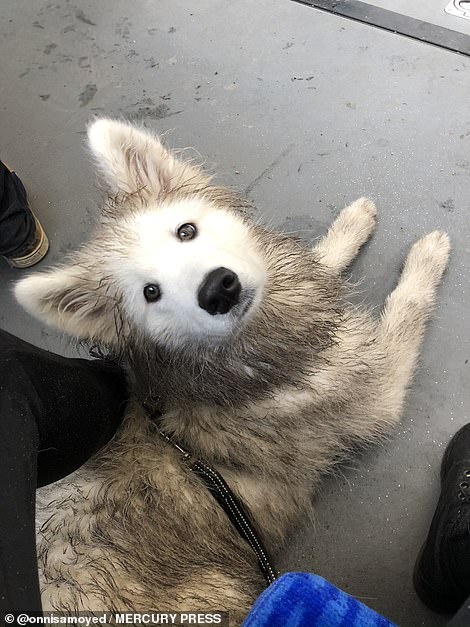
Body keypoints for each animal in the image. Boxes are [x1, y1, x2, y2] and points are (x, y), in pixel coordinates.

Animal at [15, 119, 450, 624]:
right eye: (150, 293)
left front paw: (352, 223)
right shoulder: (378, 387)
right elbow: (407, 307)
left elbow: (319, 259)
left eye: (186, 231)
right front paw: (428, 255)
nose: (218, 289)